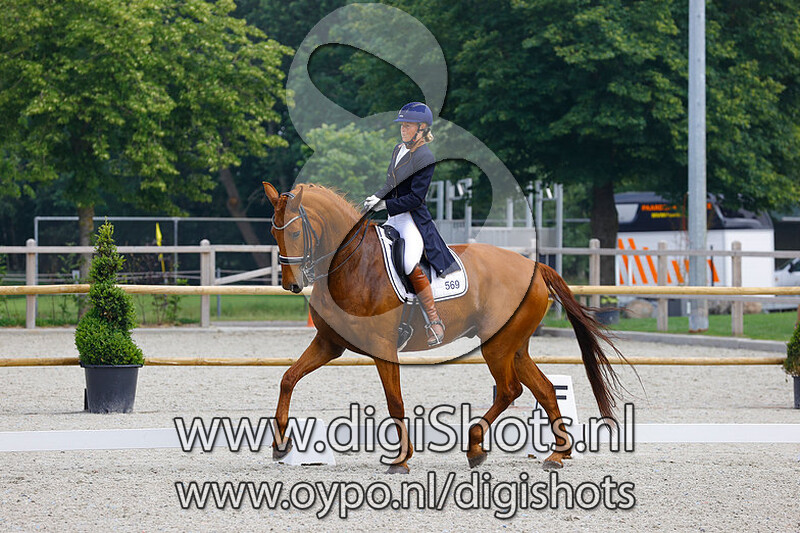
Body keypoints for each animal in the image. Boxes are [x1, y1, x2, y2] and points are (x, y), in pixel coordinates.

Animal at [263, 181, 625, 473]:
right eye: (274, 234)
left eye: (294, 233)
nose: (291, 285)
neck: (354, 265)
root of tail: (534, 266)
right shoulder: (329, 343)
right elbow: (288, 378)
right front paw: (280, 444)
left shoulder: (382, 347)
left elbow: (395, 401)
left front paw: (401, 459)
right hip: (515, 346)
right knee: (546, 389)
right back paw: (556, 454)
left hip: (497, 345)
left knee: (510, 390)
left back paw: (476, 447)